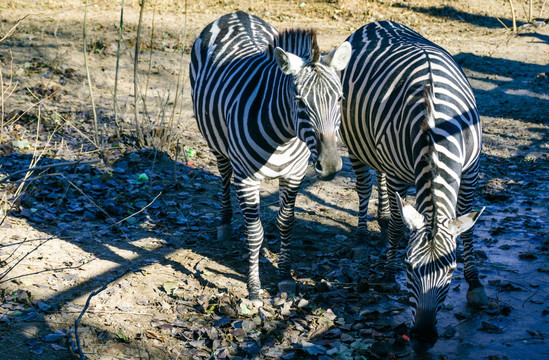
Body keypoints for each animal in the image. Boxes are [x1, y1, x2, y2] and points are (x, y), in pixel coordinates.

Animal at [188, 11, 352, 304]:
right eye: (300, 102)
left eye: (340, 98)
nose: (331, 166)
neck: (283, 137)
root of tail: (235, 14)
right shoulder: (246, 179)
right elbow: (255, 233)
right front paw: (254, 289)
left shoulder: (294, 176)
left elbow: (286, 224)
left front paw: (285, 278)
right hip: (217, 143)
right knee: (224, 175)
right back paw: (224, 224)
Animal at [338, 21, 488, 352]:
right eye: (408, 267)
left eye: (451, 271)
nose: (422, 337)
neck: (436, 127)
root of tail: (375, 22)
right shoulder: (398, 172)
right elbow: (398, 223)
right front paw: (388, 269)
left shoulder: (470, 171)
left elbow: (467, 229)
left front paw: (475, 284)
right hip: (355, 143)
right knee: (364, 187)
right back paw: (361, 237)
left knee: (379, 179)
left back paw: (379, 220)